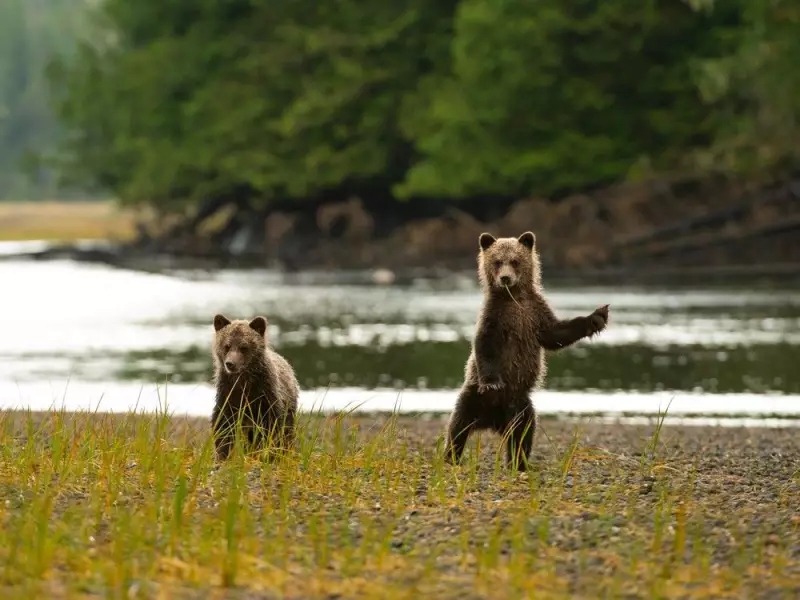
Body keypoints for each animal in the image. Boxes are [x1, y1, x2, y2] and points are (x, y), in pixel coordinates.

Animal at [211, 314, 299, 460]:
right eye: (227, 346)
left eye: (243, 347)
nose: (230, 363)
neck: (244, 380)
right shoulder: (228, 393)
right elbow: (223, 426)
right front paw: (222, 454)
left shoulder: (265, 393)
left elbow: (271, 427)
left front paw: (266, 453)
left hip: (290, 404)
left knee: (287, 432)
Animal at [443, 231, 610, 470]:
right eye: (497, 261)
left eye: (515, 261)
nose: (505, 278)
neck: (514, 298)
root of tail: (492, 421)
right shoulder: (495, 316)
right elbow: (485, 345)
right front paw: (492, 382)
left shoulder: (535, 315)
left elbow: (557, 334)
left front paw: (597, 317)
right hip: (474, 397)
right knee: (458, 424)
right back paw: (451, 456)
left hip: (520, 406)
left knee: (523, 433)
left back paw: (519, 463)